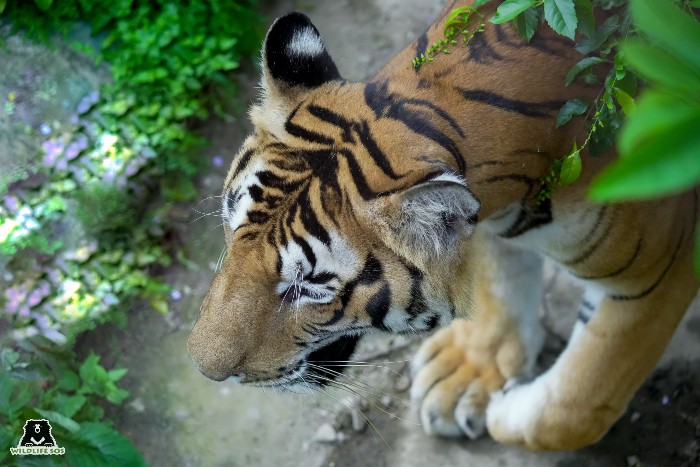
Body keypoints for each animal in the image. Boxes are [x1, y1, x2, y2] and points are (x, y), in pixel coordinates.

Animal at [187, 0, 700, 454]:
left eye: (310, 287)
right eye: (230, 228)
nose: (203, 370)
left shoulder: (655, 274)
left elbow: (577, 403)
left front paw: (506, 410)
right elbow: (501, 282)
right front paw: (474, 373)